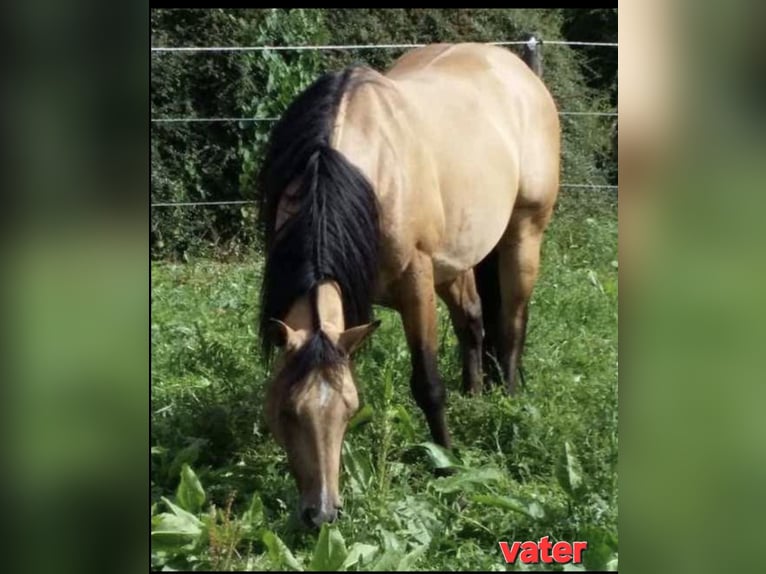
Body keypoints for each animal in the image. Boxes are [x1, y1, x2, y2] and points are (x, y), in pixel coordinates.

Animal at [256, 42, 560, 528]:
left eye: (347, 408)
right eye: (286, 410)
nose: (321, 515)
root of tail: (517, 68)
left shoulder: (416, 282)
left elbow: (428, 384)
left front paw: (447, 465)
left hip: (524, 234)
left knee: (512, 325)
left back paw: (508, 403)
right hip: (455, 260)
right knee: (473, 321)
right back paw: (474, 393)